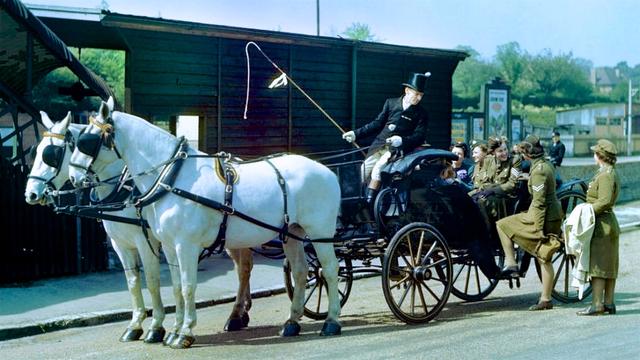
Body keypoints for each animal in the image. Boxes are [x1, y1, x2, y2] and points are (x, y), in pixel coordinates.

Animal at [24, 112, 166, 344]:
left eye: (52, 154)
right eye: (36, 151)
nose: (31, 194)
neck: (125, 189)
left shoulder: (148, 242)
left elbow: (153, 282)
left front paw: (156, 327)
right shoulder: (120, 244)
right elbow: (133, 282)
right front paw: (135, 325)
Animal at [67, 98, 342, 348]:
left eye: (86, 141)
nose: (73, 177)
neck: (172, 177)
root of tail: (327, 171)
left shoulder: (184, 244)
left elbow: (188, 286)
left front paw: (184, 332)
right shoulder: (169, 246)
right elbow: (176, 287)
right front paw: (173, 330)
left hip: (320, 232)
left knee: (329, 269)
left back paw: (331, 321)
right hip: (292, 232)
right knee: (300, 271)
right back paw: (292, 322)